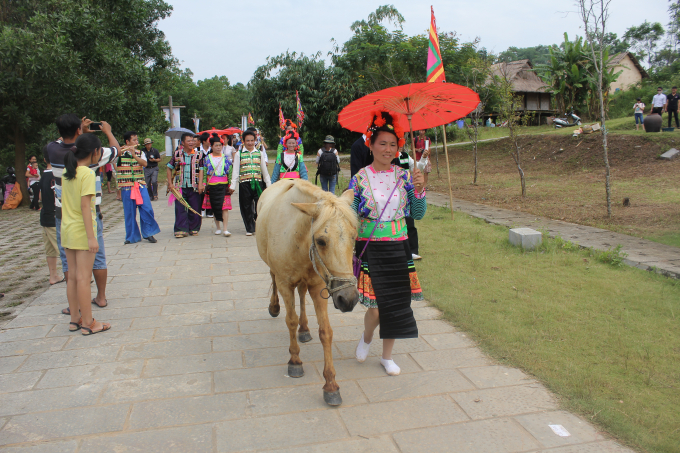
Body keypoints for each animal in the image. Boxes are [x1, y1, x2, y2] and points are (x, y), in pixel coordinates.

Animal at [256, 178, 362, 404]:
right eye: (321, 241)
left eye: (354, 237)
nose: (348, 299)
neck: (297, 238)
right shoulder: (285, 283)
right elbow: (290, 321)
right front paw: (295, 361)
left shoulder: (318, 286)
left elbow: (326, 331)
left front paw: (331, 384)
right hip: (273, 269)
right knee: (273, 279)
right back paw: (274, 307)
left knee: (302, 294)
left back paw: (304, 329)